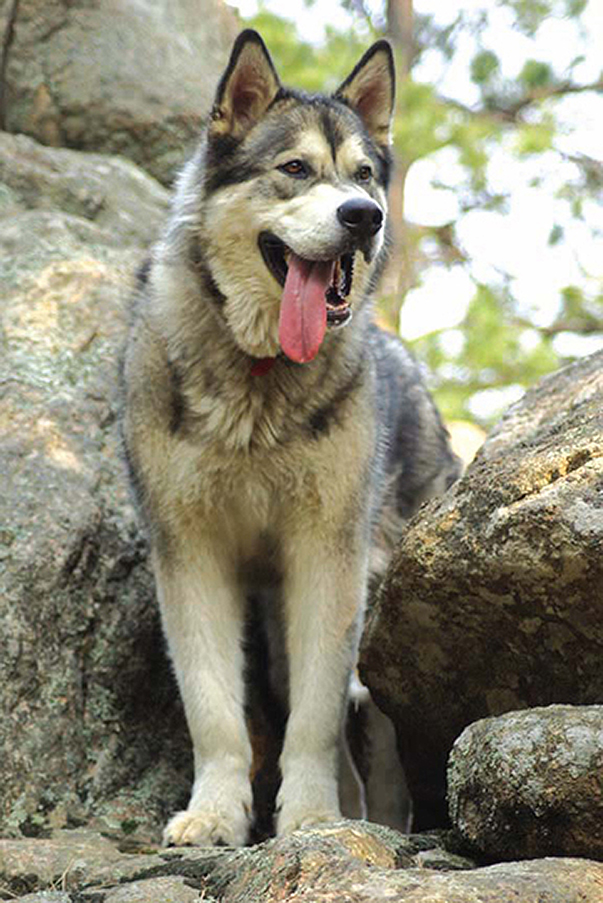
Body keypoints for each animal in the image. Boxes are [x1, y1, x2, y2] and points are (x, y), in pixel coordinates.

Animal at [120, 28, 460, 848]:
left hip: (373, 608)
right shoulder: (190, 553)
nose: (364, 215)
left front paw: (309, 819)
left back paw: (379, 822)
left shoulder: (324, 557)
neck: (258, 376)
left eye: (364, 174)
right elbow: (214, 710)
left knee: (377, 738)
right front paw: (214, 815)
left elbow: (313, 719)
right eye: (295, 169)